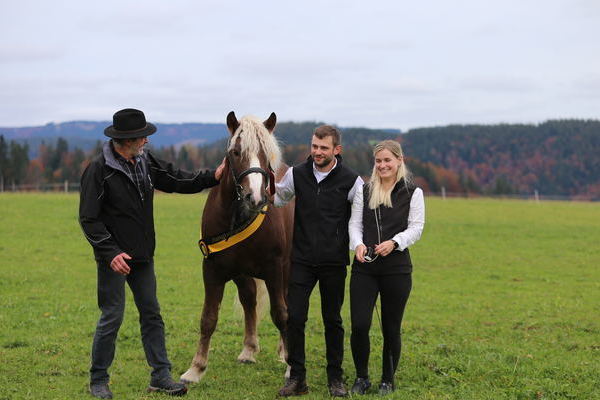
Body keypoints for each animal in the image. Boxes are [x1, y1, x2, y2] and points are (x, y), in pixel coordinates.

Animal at [182, 110, 294, 384]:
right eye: (235, 152)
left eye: (266, 153)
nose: (256, 197)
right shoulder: (212, 270)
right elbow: (208, 318)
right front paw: (196, 368)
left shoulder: (275, 268)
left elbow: (281, 313)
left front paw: (290, 365)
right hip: (242, 273)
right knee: (249, 299)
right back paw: (249, 349)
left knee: (286, 304)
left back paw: (283, 351)